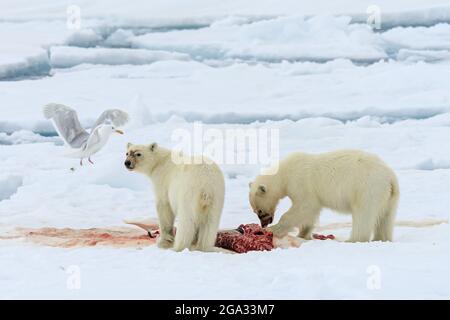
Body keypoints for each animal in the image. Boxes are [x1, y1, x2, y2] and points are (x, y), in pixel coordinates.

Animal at [248, 150, 400, 242]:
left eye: (259, 211)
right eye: (255, 211)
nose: (264, 224)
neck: (284, 173)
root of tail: (390, 178)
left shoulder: (300, 182)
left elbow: (305, 206)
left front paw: (273, 230)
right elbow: (311, 212)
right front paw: (303, 234)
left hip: (367, 188)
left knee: (363, 215)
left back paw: (353, 239)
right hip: (389, 197)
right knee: (385, 217)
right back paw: (381, 238)